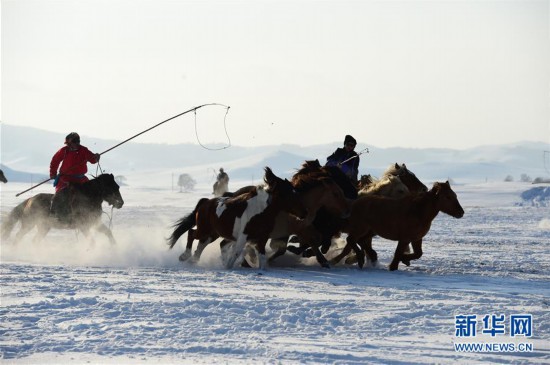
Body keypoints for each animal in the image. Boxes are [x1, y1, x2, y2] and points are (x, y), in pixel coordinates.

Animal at [167, 167, 310, 268]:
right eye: (289, 194)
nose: (304, 213)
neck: (260, 211)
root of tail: (205, 202)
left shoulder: (261, 239)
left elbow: (262, 259)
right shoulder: (243, 237)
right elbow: (236, 253)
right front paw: (228, 266)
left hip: (213, 234)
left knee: (202, 244)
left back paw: (193, 260)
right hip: (204, 229)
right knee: (191, 233)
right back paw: (185, 256)